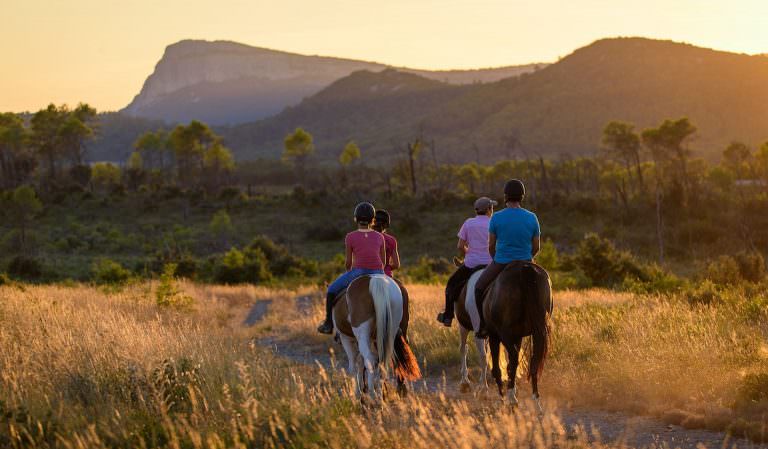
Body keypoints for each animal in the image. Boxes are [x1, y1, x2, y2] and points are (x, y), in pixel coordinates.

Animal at [480, 260, 552, 412]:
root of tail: (525, 268)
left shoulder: (494, 336)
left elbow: (497, 368)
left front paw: (502, 397)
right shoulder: (517, 336)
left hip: (504, 333)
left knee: (513, 359)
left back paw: (512, 399)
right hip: (537, 332)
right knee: (534, 361)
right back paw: (536, 401)